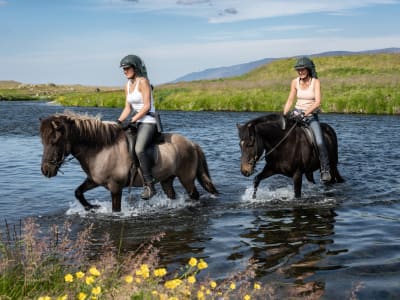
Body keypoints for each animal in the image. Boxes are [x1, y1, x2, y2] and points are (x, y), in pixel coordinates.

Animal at [40, 111, 219, 212]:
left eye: (54, 141)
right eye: (43, 141)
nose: (45, 170)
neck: (101, 149)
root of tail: (192, 143)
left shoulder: (115, 188)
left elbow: (115, 210)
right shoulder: (94, 180)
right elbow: (78, 192)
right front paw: (91, 207)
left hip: (186, 178)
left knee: (194, 195)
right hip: (167, 180)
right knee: (172, 195)